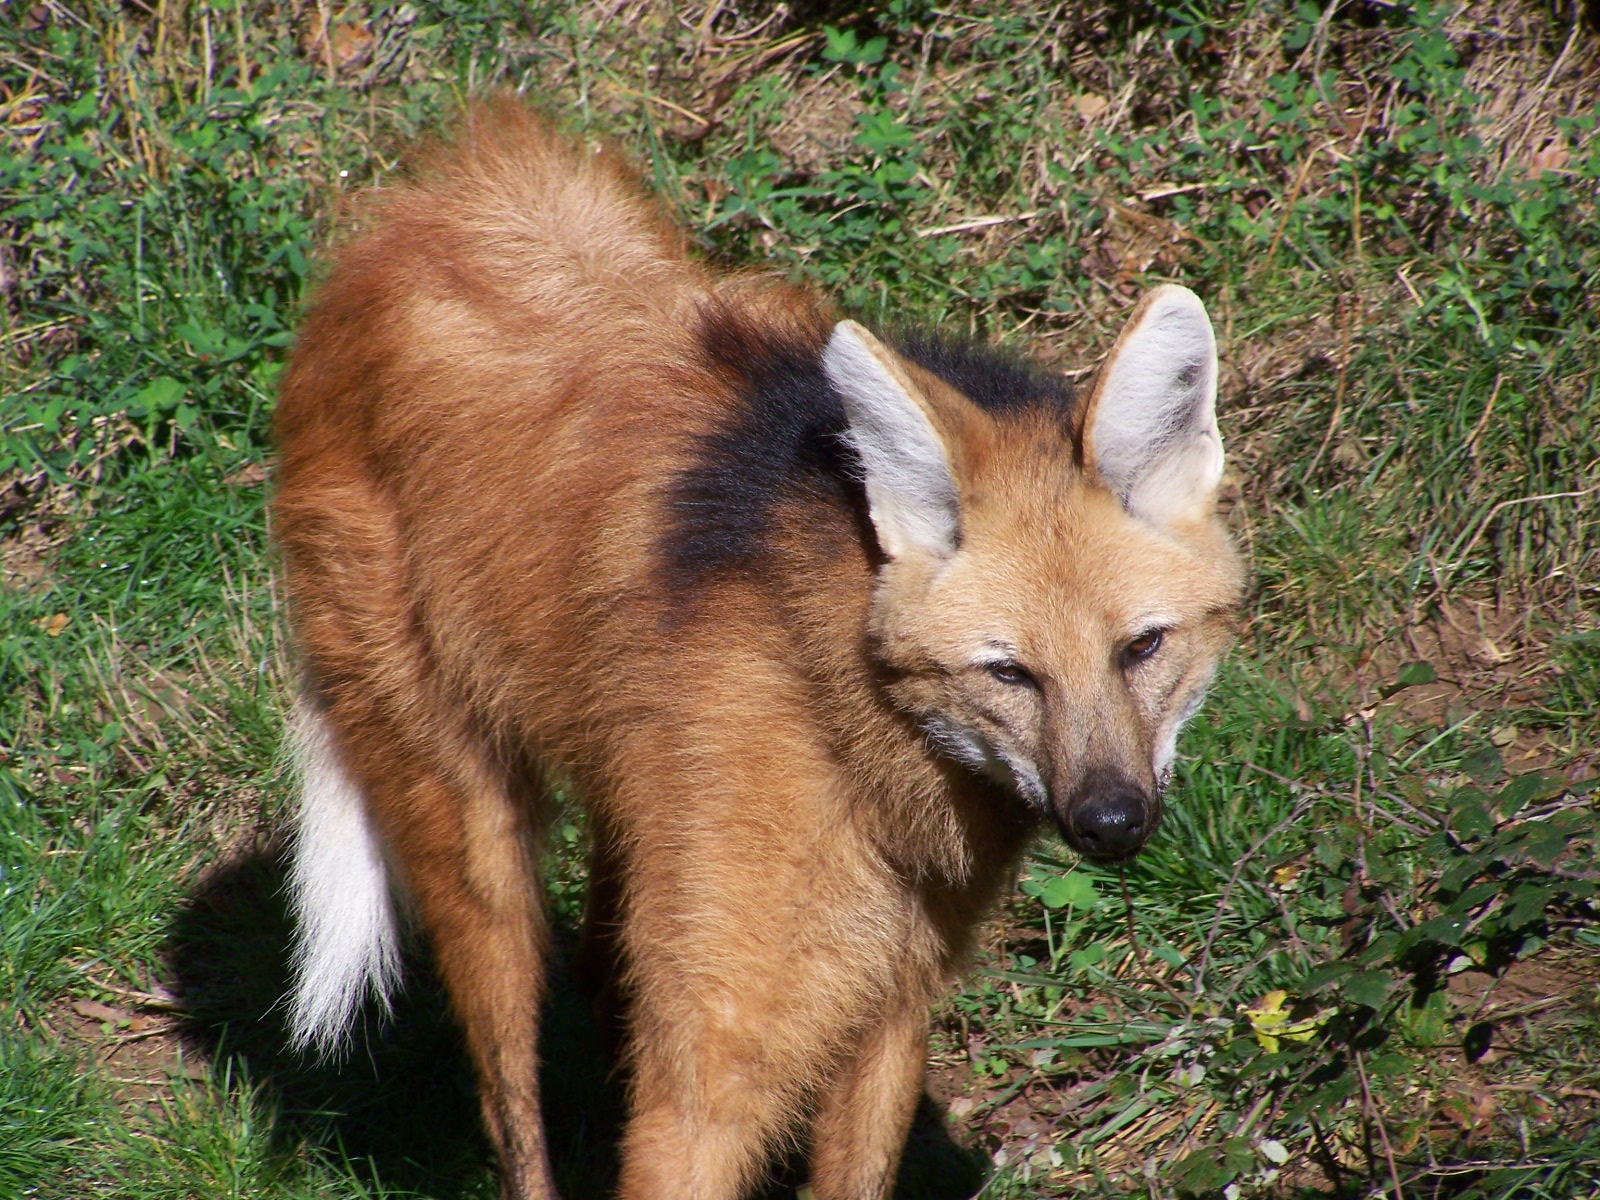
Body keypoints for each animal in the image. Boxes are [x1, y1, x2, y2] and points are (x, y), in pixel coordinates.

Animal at [271, 98, 1243, 1200]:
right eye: (1008, 672)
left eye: (1142, 648)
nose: (1112, 821)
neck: (865, 735)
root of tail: (415, 205)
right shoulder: (714, 1069)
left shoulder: (888, 1000)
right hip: (468, 826)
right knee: (510, 1084)